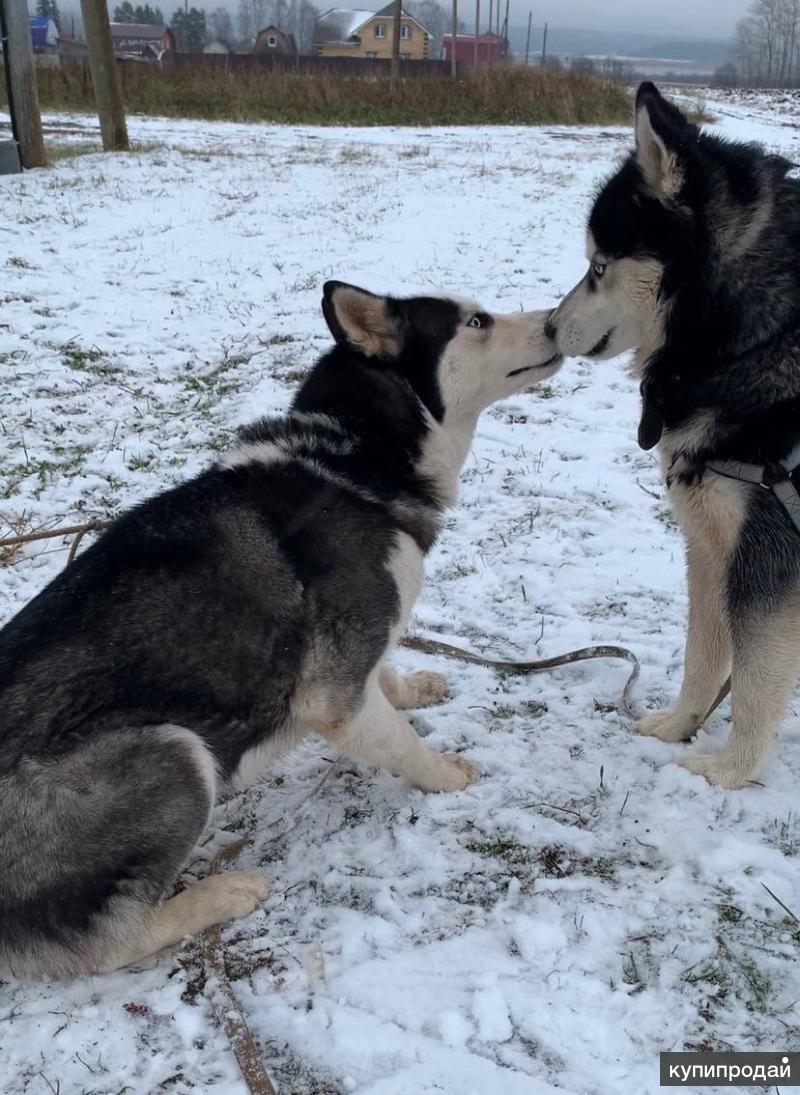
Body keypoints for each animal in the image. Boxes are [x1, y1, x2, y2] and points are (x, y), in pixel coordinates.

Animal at [0, 282, 564, 976]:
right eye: (477, 322)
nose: (559, 319)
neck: (351, 464)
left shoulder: (354, 650)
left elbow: (385, 676)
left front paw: (412, 688)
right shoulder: (331, 696)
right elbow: (398, 741)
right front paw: (443, 775)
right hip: (174, 753)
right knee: (109, 940)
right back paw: (223, 894)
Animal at [547, 83, 800, 788]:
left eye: (599, 266)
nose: (546, 326)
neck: (754, 340)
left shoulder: (768, 555)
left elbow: (757, 675)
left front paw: (730, 772)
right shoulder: (710, 541)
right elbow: (705, 653)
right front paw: (681, 725)